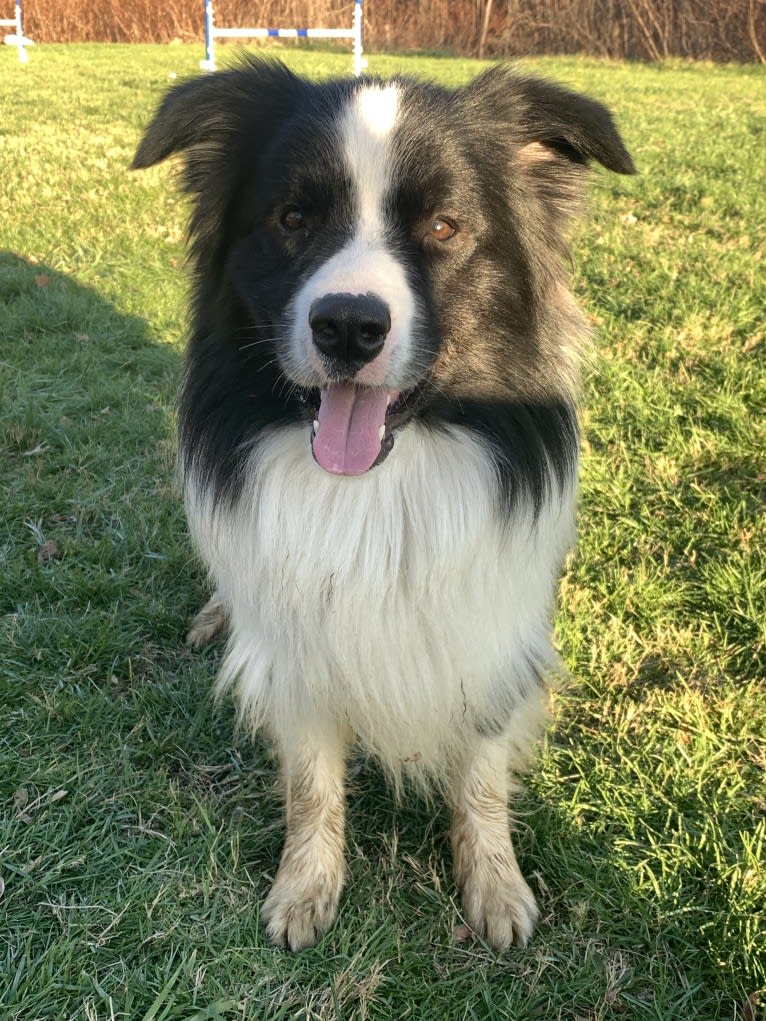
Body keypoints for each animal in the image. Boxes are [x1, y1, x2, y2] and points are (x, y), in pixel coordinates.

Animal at [136, 59, 637, 951]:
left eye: (443, 226)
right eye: (293, 218)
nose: (346, 326)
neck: (377, 487)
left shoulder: (483, 633)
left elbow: (480, 773)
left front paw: (495, 884)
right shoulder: (300, 651)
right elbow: (312, 782)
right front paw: (305, 886)